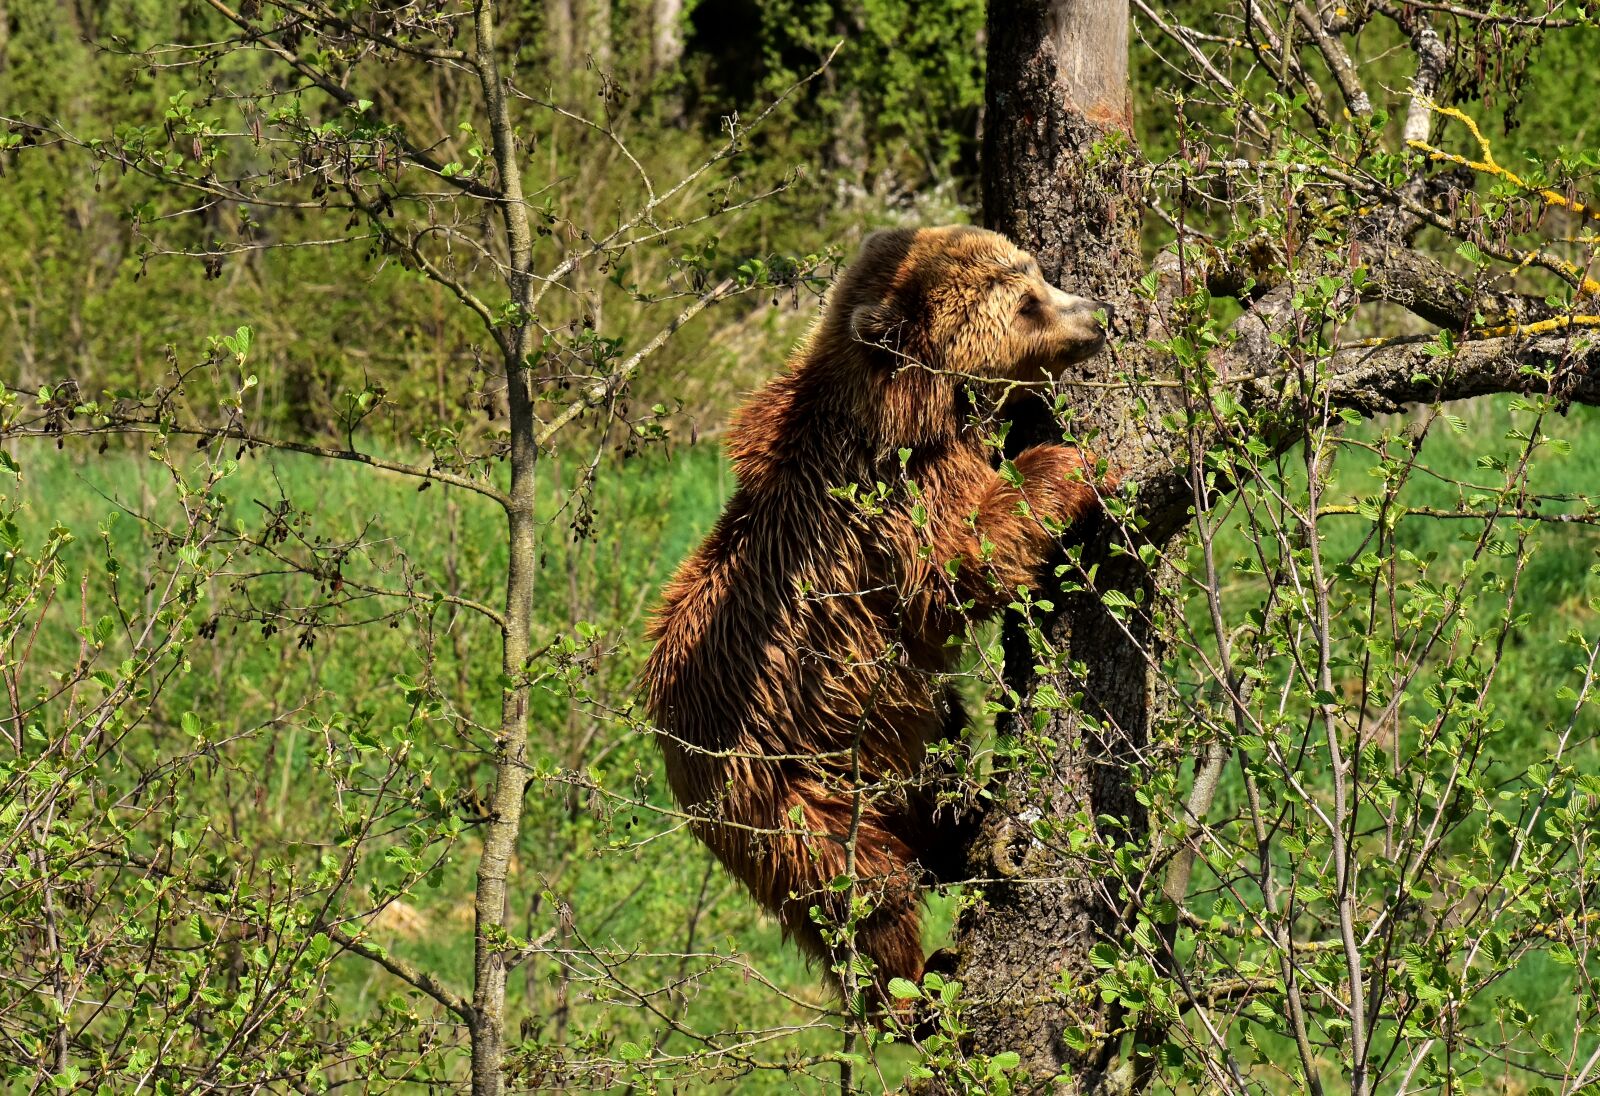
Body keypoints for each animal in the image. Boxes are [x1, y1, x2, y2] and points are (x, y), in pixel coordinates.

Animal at [643, 225, 1113, 1005]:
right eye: (1025, 303)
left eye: (1037, 273)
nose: (1097, 314)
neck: (910, 410)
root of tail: (672, 755)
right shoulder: (888, 506)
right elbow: (960, 564)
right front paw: (1069, 463)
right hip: (787, 790)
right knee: (864, 892)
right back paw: (911, 988)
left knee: (926, 779)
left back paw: (963, 827)